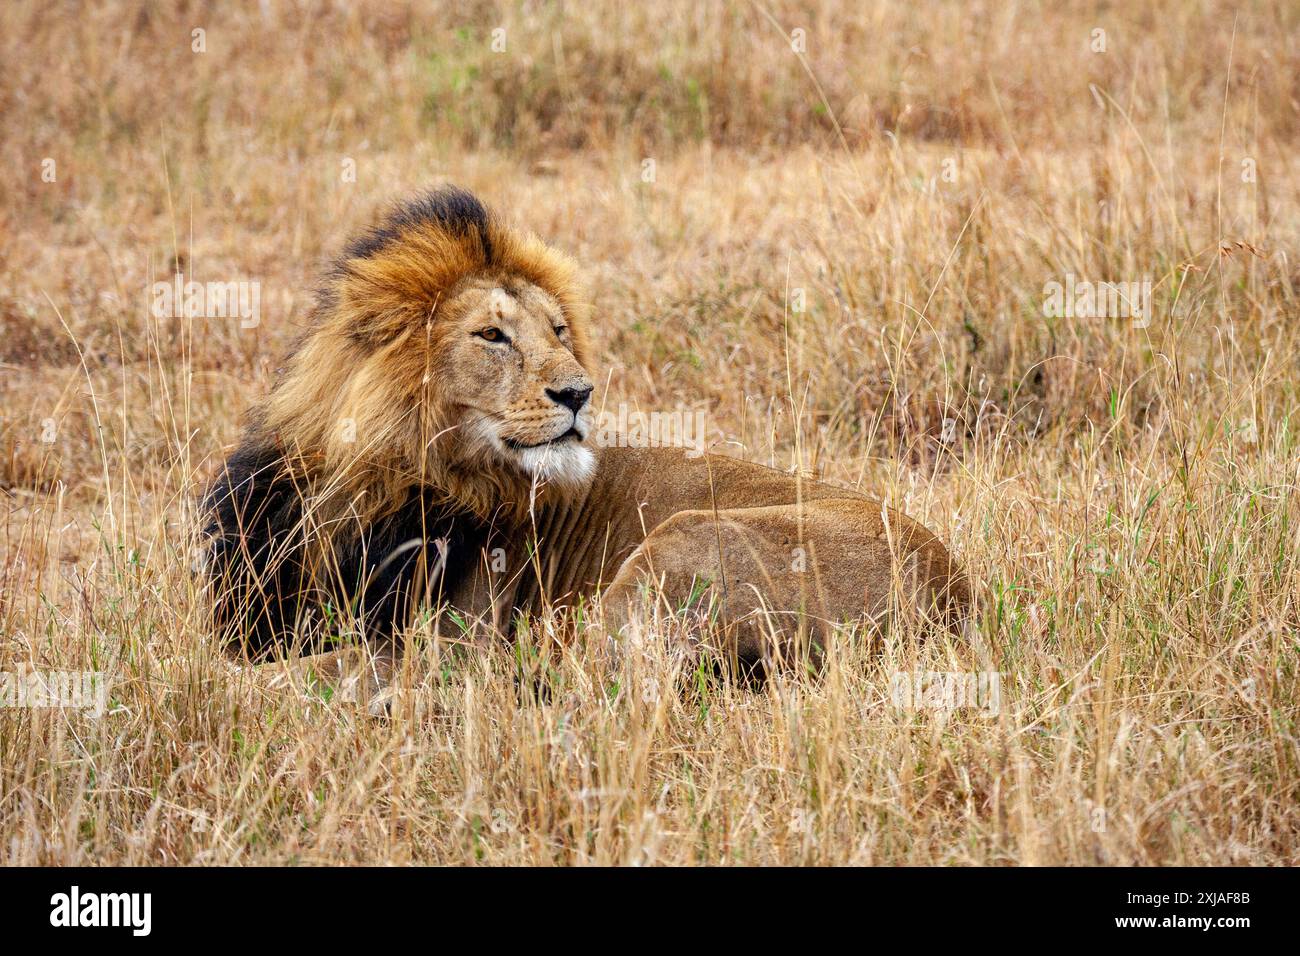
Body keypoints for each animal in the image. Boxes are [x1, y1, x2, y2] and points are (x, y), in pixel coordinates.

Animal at [201, 186, 970, 682]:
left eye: (559, 331)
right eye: (492, 335)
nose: (578, 392)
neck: (373, 481)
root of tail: (954, 597)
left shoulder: (453, 632)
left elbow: (294, 671)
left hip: (680, 543)